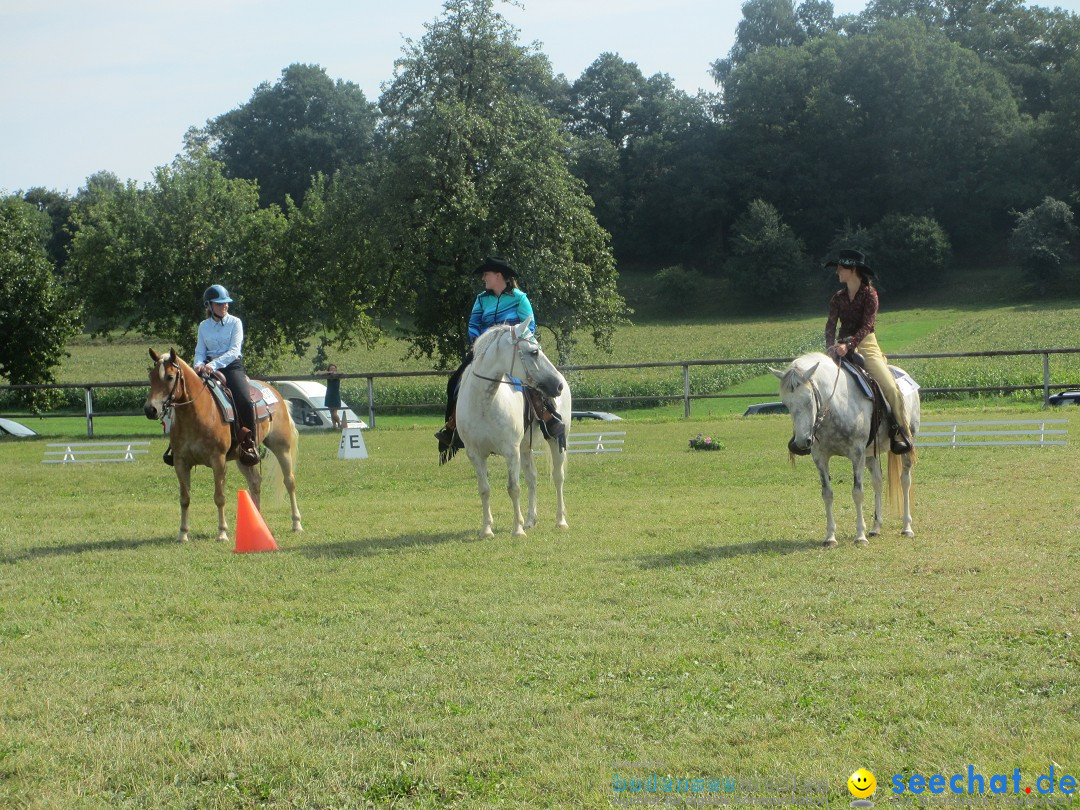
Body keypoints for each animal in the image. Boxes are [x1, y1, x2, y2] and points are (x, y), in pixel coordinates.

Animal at [143, 349, 302, 546]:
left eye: (170, 377)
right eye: (151, 376)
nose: (150, 409)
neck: (197, 413)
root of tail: (276, 395)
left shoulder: (218, 461)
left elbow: (219, 497)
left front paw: (222, 533)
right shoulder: (181, 463)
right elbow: (184, 498)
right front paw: (183, 534)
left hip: (282, 448)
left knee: (289, 482)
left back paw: (296, 524)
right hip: (244, 457)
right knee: (255, 482)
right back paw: (258, 523)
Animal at [455, 319, 574, 540]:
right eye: (534, 352)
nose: (558, 385)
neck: (484, 404)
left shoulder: (511, 452)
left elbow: (513, 488)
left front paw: (517, 530)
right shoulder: (475, 454)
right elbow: (484, 489)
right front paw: (487, 530)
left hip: (556, 440)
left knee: (558, 476)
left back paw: (560, 521)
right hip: (525, 449)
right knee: (532, 479)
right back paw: (530, 520)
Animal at [768, 352, 920, 548]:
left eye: (809, 399)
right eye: (786, 403)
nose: (801, 443)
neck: (836, 404)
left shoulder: (857, 454)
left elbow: (857, 493)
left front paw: (860, 536)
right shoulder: (820, 457)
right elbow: (827, 494)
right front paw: (830, 537)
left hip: (906, 444)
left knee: (905, 480)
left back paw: (907, 527)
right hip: (870, 454)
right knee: (877, 482)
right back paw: (875, 528)